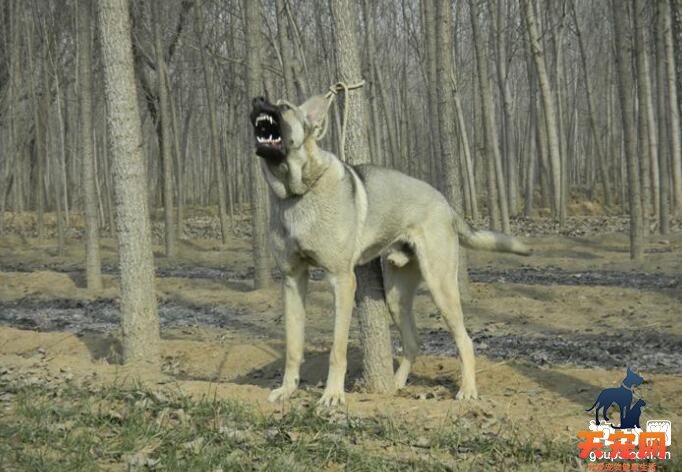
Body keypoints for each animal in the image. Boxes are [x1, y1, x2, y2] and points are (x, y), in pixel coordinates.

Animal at [250, 94, 532, 408]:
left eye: (284, 106)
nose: (257, 100)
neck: (297, 193)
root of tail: (446, 204)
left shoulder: (342, 281)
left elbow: (338, 350)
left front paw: (333, 394)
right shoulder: (293, 281)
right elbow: (293, 347)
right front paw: (287, 389)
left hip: (441, 287)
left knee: (465, 341)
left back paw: (468, 389)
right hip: (396, 297)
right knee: (413, 343)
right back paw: (396, 384)